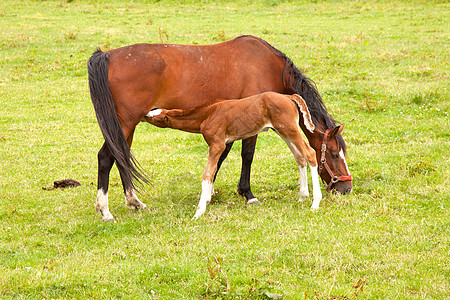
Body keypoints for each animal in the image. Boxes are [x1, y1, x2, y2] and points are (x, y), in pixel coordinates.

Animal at [147, 92, 324, 219]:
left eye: (154, 116)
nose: (144, 113)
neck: (207, 114)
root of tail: (288, 97)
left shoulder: (217, 144)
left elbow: (207, 174)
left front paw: (199, 211)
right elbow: (213, 171)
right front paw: (207, 200)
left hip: (288, 129)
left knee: (310, 153)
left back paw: (315, 202)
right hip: (284, 131)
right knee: (299, 156)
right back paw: (302, 196)